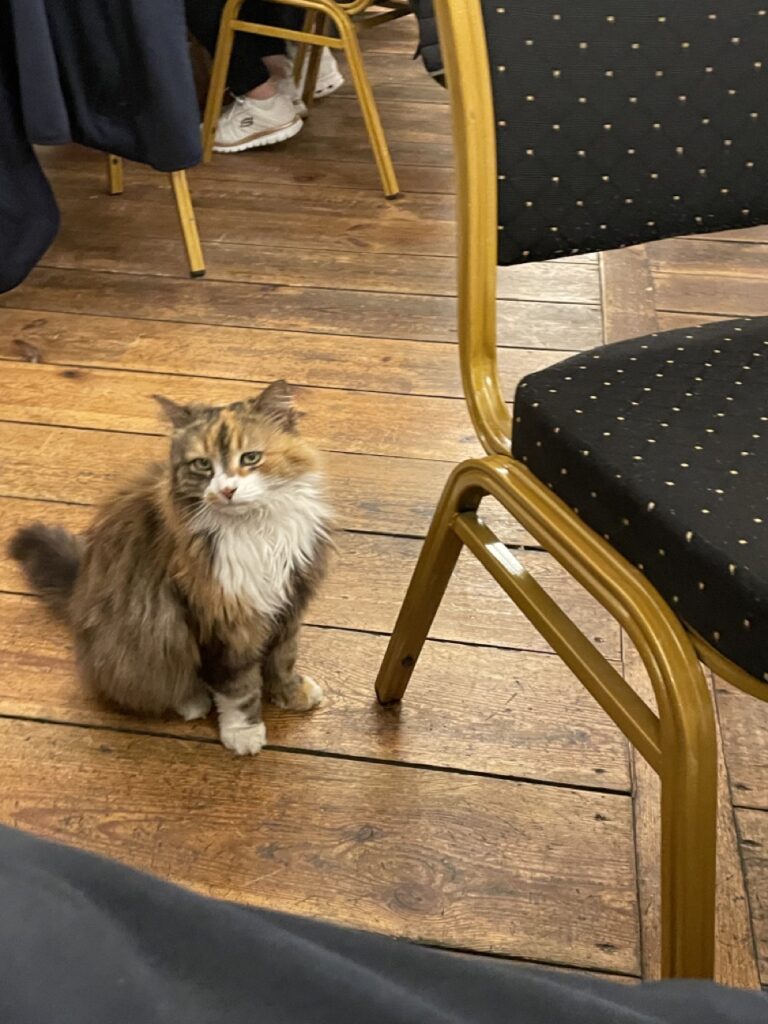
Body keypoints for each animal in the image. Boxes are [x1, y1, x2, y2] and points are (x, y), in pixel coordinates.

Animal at [9, 380, 331, 757]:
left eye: (251, 458)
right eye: (202, 465)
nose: (227, 490)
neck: (254, 530)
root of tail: (80, 590)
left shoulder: (289, 602)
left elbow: (282, 659)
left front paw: (291, 694)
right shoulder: (217, 621)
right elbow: (238, 688)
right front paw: (244, 732)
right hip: (143, 639)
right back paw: (192, 700)